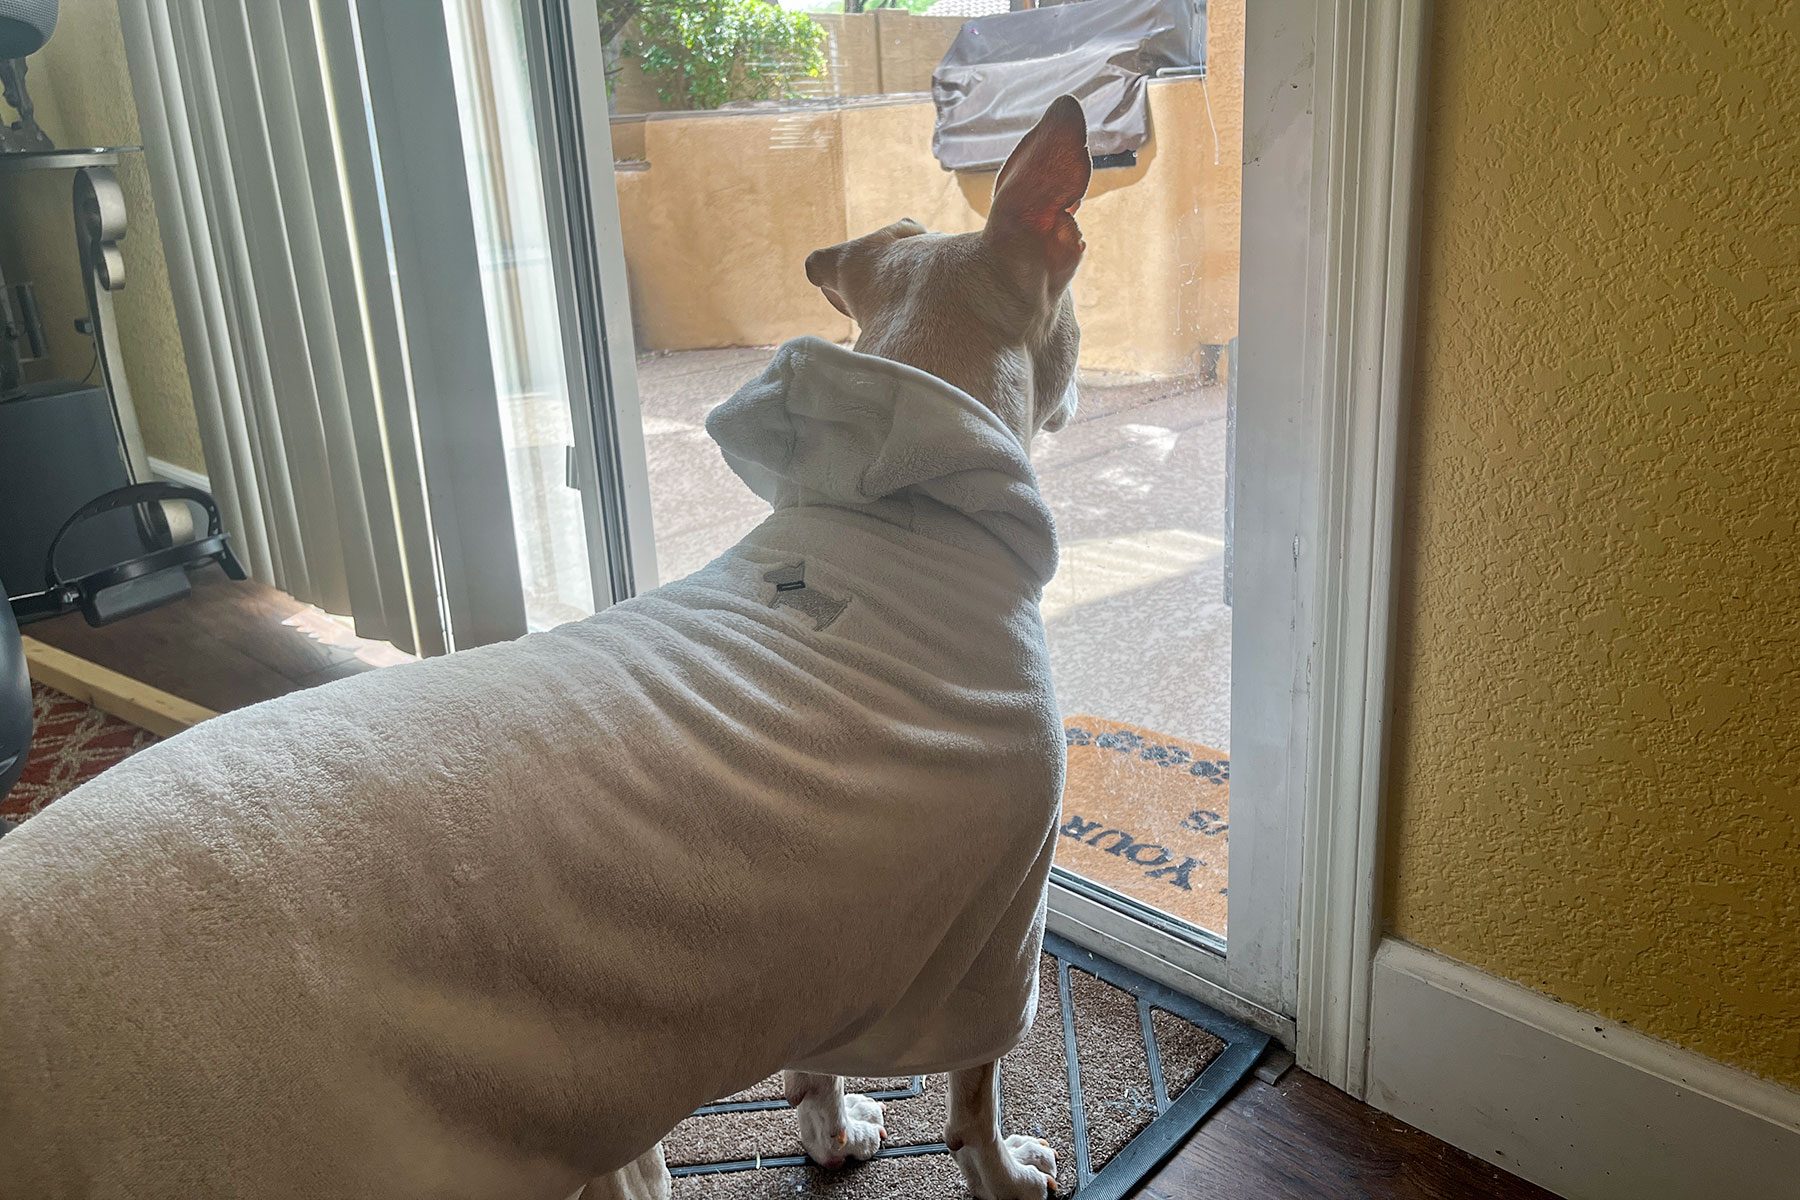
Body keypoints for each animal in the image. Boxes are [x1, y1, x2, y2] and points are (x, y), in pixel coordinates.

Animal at [0, 96, 1094, 1200]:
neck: (899, 509)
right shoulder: (998, 923)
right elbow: (974, 1091)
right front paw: (1005, 1171)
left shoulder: (831, 917)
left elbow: (816, 1056)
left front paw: (829, 1128)